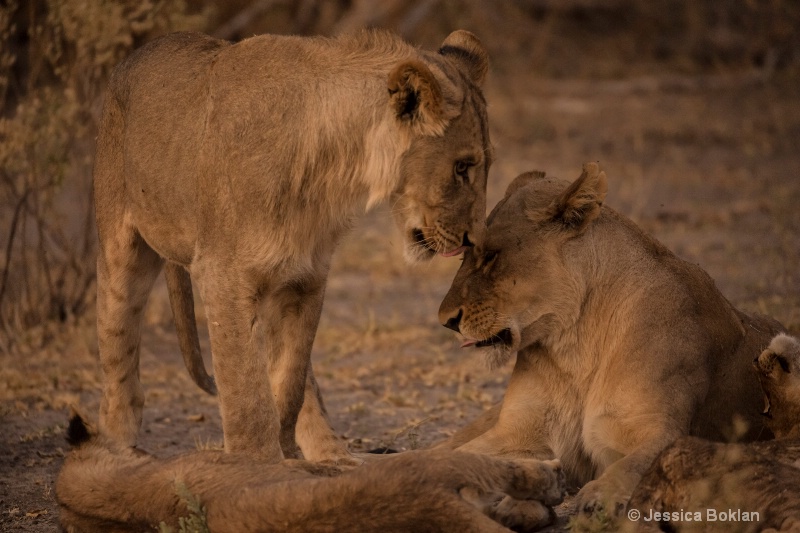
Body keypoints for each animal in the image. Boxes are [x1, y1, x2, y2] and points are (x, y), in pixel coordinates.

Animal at [96, 29, 490, 462]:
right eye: (462, 167)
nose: (473, 240)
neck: (332, 167)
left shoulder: (307, 278)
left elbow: (290, 384)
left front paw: (290, 458)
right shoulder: (222, 275)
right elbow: (246, 393)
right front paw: (258, 464)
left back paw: (333, 453)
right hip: (122, 246)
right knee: (117, 348)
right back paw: (117, 446)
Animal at [434, 164, 784, 516]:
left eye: (491, 256)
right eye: (464, 256)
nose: (446, 320)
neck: (576, 342)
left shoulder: (659, 431)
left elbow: (635, 464)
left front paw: (597, 496)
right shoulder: (519, 433)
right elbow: (449, 459)